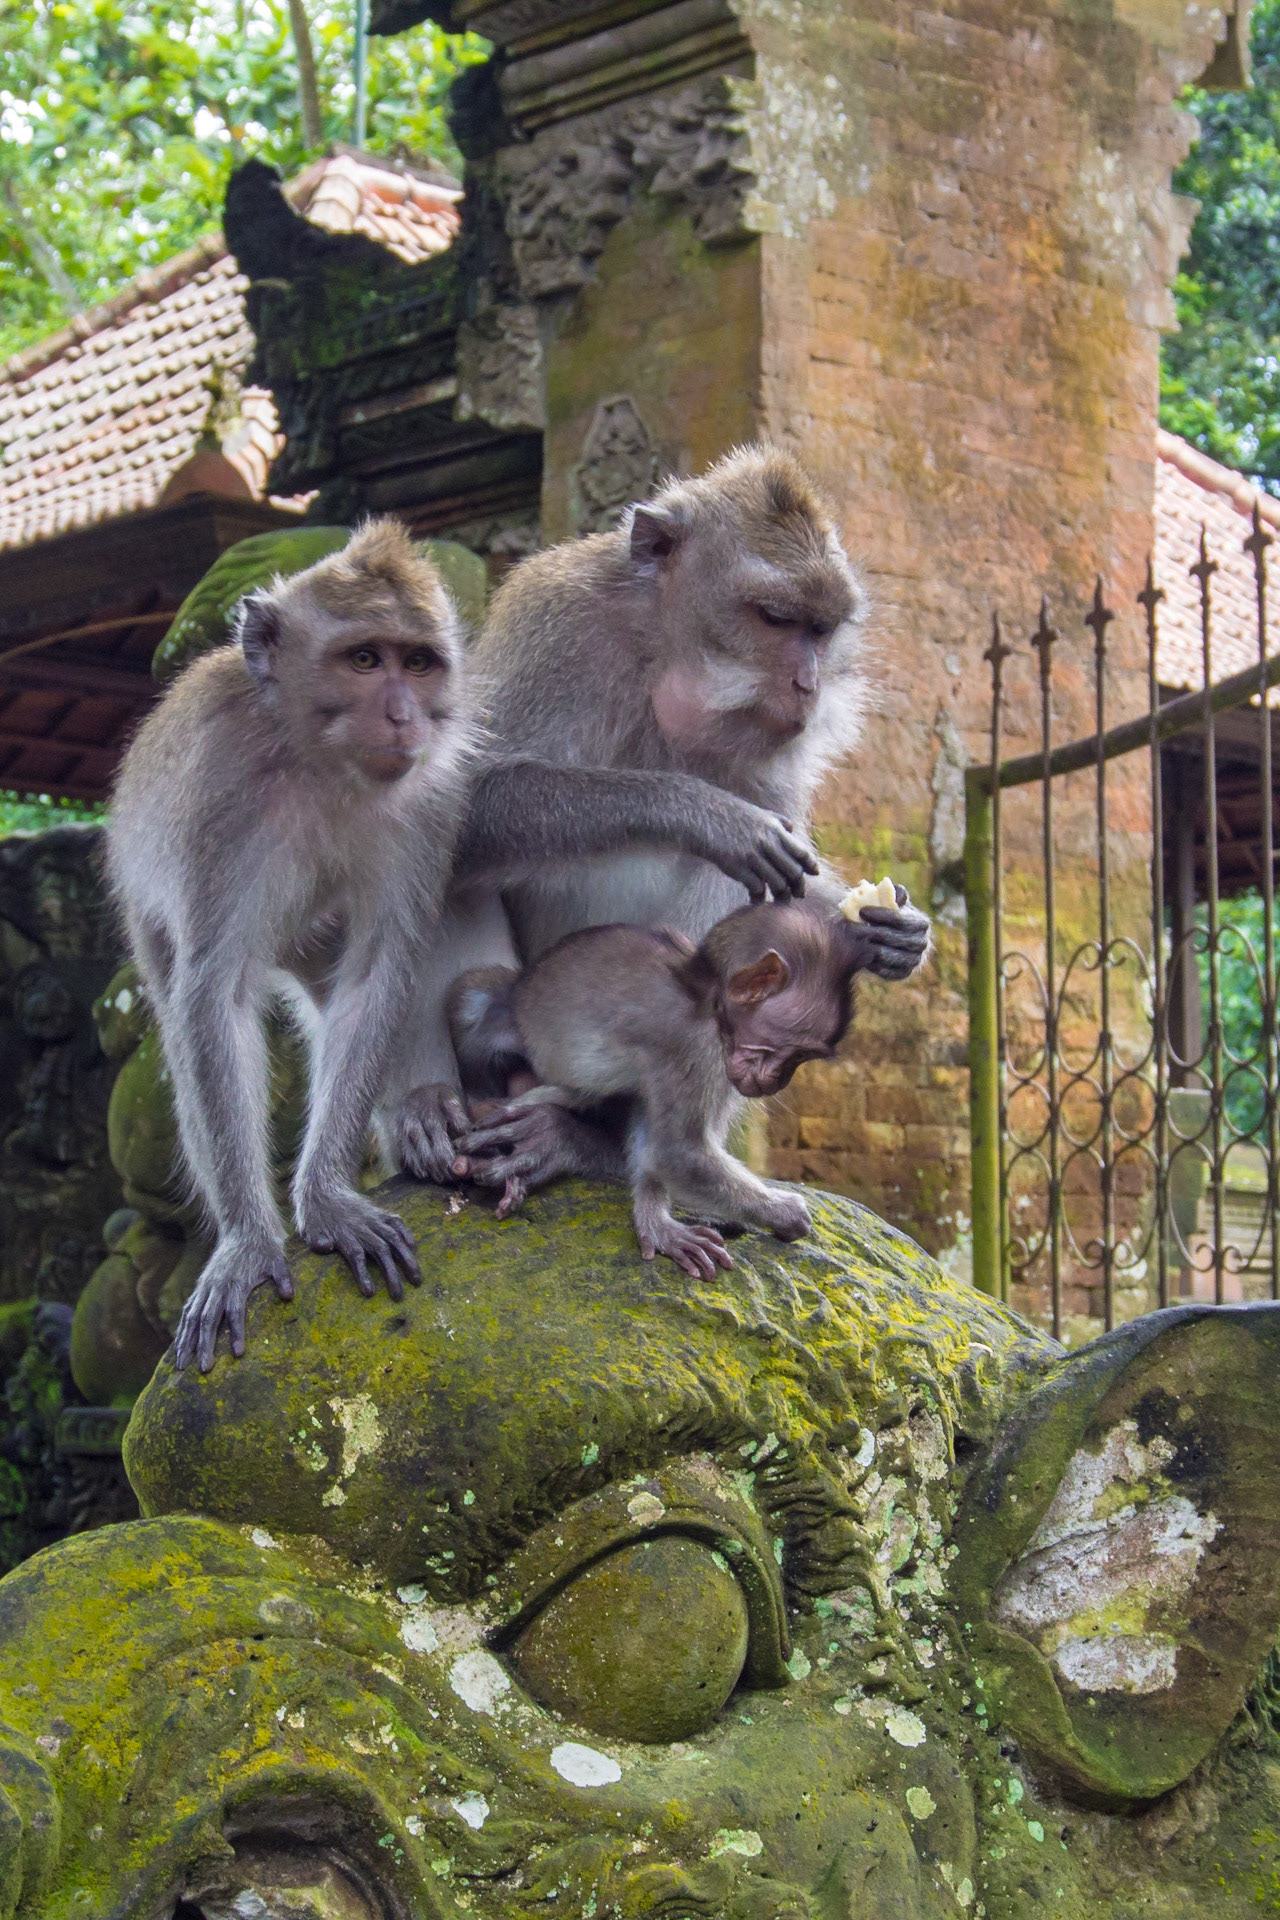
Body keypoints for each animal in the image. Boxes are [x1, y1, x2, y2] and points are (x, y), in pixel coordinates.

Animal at [106, 519, 473, 1373]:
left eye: (418, 663)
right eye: (365, 659)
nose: (403, 717)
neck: (320, 762)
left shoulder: (431, 803)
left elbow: (374, 979)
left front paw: (330, 1198)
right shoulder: (221, 796)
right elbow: (214, 998)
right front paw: (247, 1243)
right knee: (181, 1017)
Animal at [388, 443, 929, 1199]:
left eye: (820, 630)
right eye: (775, 617)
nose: (809, 684)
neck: (668, 660)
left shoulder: (779, 745)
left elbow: (797, 881)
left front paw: (894, 934)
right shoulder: (560, 624)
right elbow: (465, 799)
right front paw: (707, 815)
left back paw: (596, 1140)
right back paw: (434, 1108)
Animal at [446, 891, 930, 1276]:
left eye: (801, 1059)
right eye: (788, 1052)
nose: (775, 1082)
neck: (706, 993)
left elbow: (656, 1139)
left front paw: (656, 1224)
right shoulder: (696, 1049)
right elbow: (678, 1152)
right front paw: (782, 1212)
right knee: (476, 998)